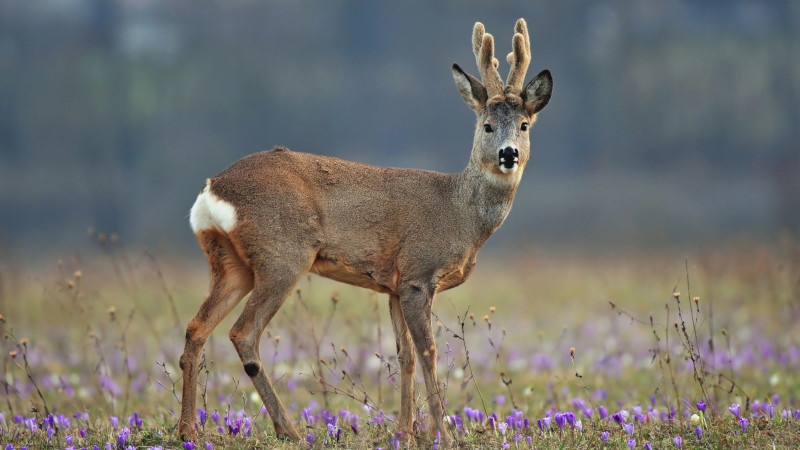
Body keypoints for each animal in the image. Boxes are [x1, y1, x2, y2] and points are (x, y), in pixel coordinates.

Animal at [178, 18, 552, 446]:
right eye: (487, 126)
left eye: (524, 125)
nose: (509, 154)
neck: (460, 213)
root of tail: (213, 188)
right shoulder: (418, 275)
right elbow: (428, 354)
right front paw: (443, 434)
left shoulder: (393, 286)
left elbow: (404, 356)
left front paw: (406, 433)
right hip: (282, 257)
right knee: (243, 333)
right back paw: (289, 429)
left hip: (230, 263)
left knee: (196, 327)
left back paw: (187, 429)